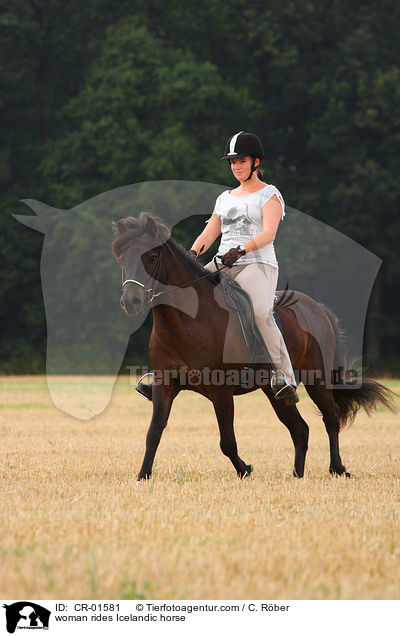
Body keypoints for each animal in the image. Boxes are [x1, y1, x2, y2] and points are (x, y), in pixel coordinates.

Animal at [112, 211, 394, 480]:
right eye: (122, 258)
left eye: (150, 257)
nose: (130, 302)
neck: (187, 320)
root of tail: (317, 309)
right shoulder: (165, 384)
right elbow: (153, 433)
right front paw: (143, 476)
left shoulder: (221, 391)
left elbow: (227, 442)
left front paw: (245, 470)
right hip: (274, 391)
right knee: (300, 429)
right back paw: (297, 475)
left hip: (318, 379)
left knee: (331, 417)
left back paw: (337, 469)